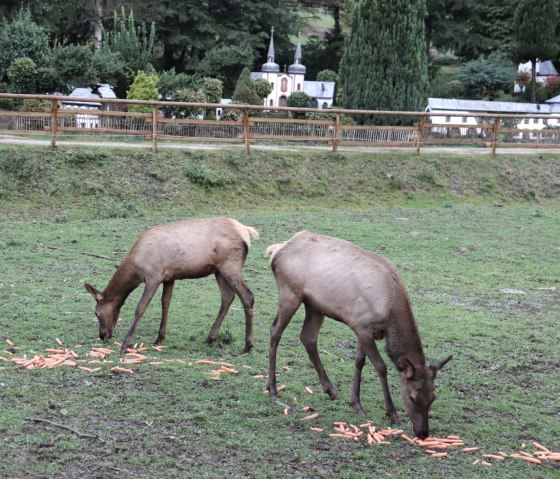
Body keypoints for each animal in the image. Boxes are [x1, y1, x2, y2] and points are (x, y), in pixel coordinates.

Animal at [84, 217, 260, 352]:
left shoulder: (153, 276)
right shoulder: (169, 277)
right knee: (228, 296)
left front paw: (125, 344)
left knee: (248, 296)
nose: (103, 335)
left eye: (96, 312)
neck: (136, 267)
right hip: (219, 270)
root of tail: (246, 231)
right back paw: (210, 338)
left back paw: (248, 345)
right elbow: (165, 303)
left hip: (230, 266)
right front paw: (159, 337)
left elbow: (140, 308)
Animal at [264, 232, 452, 438]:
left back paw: (331, 390)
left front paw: (355, 404)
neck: (389, 311)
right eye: (412, 397)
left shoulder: (363, 329)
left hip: (315, 306)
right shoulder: (362, 327)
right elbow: (381, 367)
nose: (423, 433)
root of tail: (276, 250)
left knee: (308, 338)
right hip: (290, 293)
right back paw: (272, 388)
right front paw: (392, 413)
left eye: (433, 397)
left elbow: (359, 362)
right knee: (275, 331)